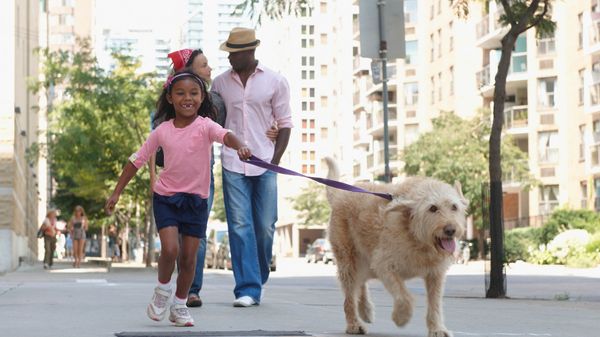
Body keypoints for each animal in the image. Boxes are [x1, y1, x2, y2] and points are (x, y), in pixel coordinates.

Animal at [324, 158, 468, 336]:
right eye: (433, 208)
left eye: (454, 207)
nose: (451, 230)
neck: (417, 238)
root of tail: (340, 195)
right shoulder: (384, 265)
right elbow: (404, 296)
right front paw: (401, 317)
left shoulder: (435, 274)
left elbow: (435, 303)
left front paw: (437, 329)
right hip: (349, 260)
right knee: (350, 293)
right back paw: (354, 324)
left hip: (366, 260)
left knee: (361, 282)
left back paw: (366, 310)